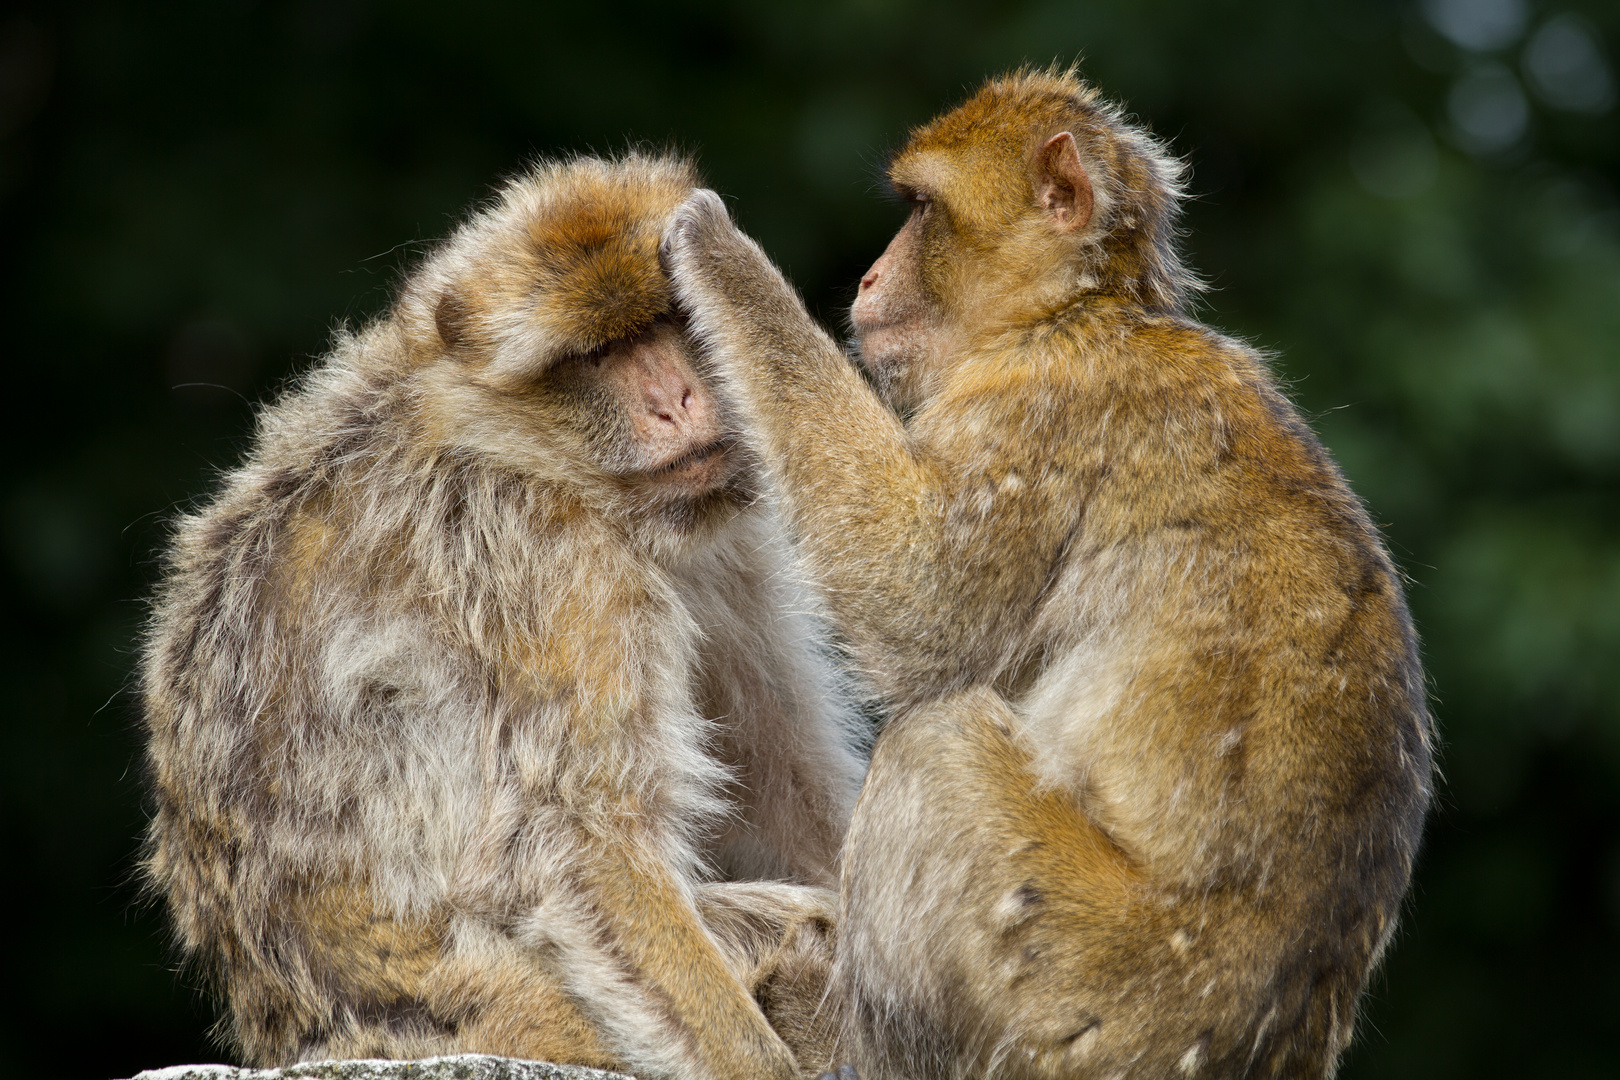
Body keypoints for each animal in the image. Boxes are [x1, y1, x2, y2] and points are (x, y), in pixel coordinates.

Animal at [145, 152, 868, 1080]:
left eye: (671, 324)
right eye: (600, 355)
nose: (674, 399)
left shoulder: (727, 550)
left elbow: (789, 801)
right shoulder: (549, 561)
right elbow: (581, 839)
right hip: (493, 1008)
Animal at [664, 69, 1438, 1080]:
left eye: (920, 211)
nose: (868, 277)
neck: (1070, 314)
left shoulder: (1039, 409)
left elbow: (919, 608)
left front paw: (720, 255)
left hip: (1057, 995)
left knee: (935, 740)